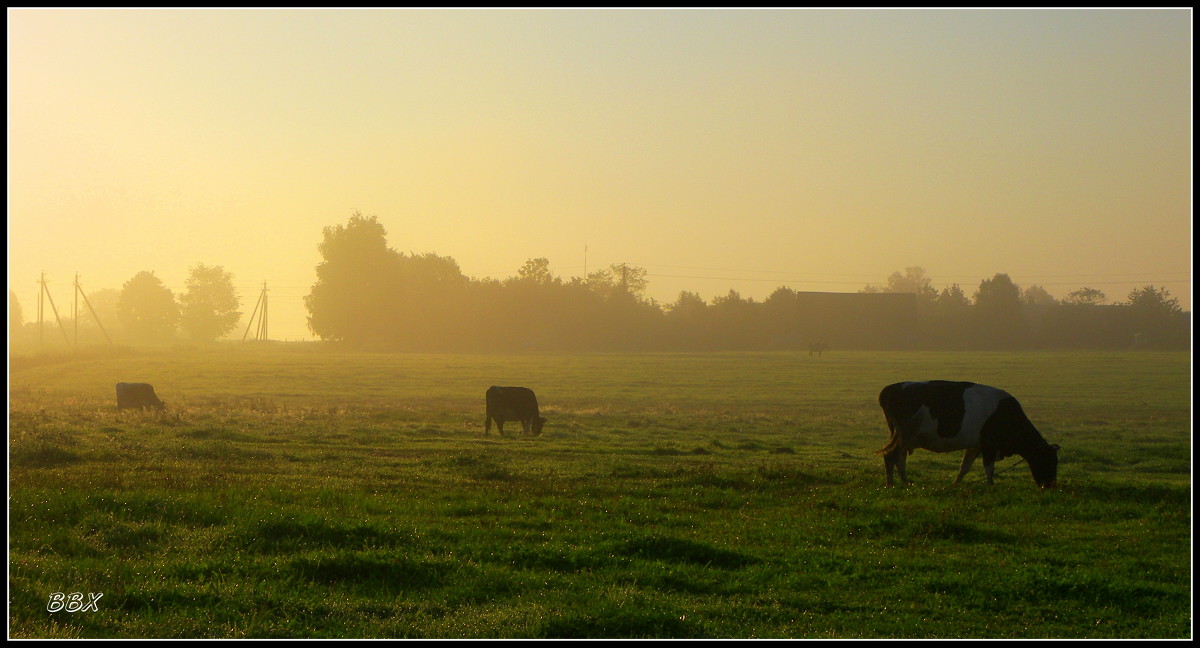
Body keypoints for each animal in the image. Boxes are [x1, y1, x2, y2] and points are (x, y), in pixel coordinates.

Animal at [873, 379, 1060, 484]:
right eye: (1048, 461)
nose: (1050, 485)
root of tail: (890, 389)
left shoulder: (975, 445)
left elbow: (965, 467)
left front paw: (955, 484)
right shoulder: (989, 445)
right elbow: (989, 469)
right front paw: (991, 486)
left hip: (903, 438)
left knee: (899, 458)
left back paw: (905, 482)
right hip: (904, 435)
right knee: (891, 455)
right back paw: (891, 484)